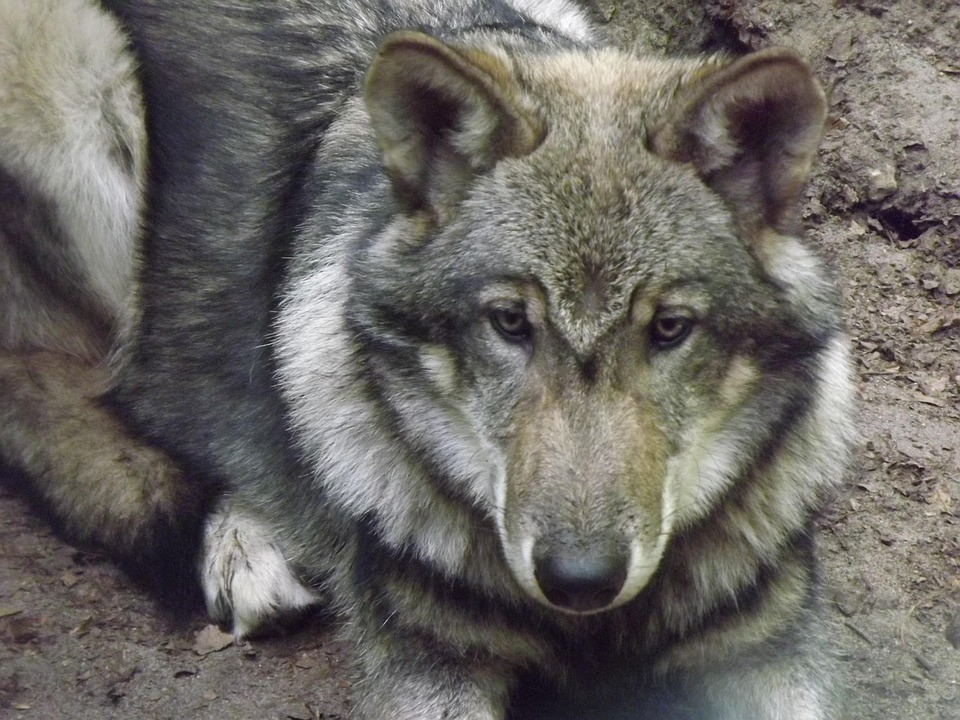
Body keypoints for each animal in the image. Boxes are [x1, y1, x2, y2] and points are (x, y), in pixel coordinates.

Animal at [0, 0, 855, 718]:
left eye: (670, 329)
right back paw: (240, 542)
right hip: (80, 75)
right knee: (62, 386)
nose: (580, 581)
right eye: (509, 322)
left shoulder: (767, 652)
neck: (590, 634)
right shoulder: (429, 663)